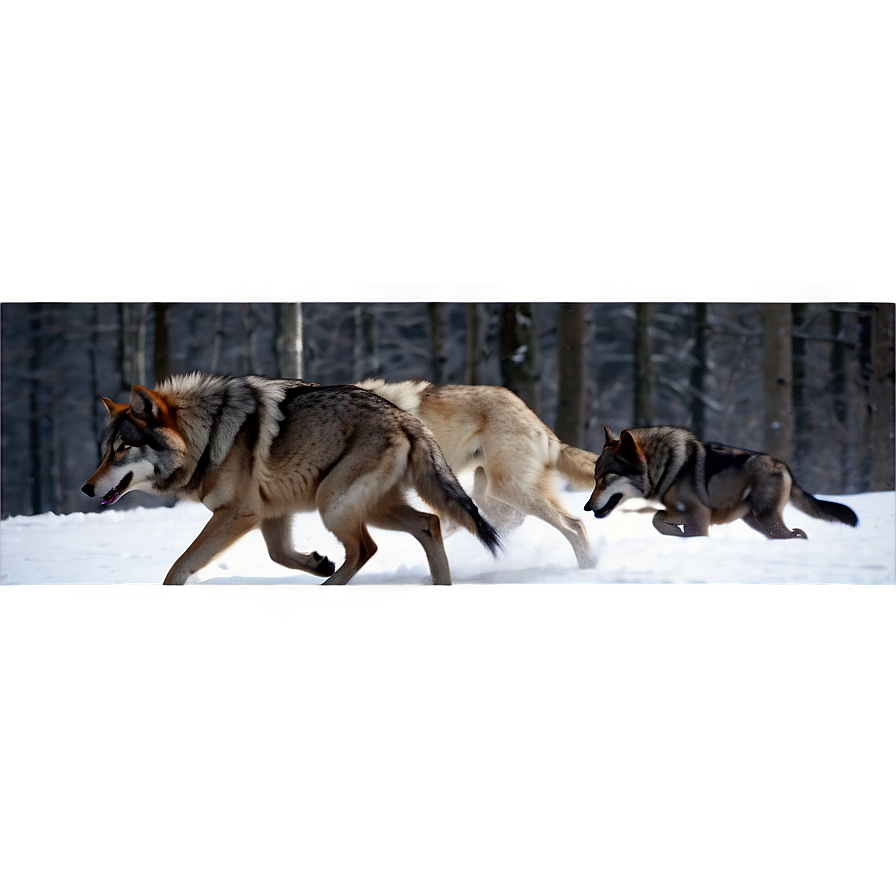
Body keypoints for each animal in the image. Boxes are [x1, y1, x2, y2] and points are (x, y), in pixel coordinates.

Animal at [82, 372, 504, 588]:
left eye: (123, 448)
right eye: (104, 451)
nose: (86, 488)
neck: (208, 435)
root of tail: (406, 419)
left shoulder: (239, 514)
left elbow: (178, 567)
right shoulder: (270, 515)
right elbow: (279, 555)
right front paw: (318, 562)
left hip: (333, 504)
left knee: (366, 548)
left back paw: (328, 592)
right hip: (370, 509)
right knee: (429, 524)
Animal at [584, 428, 856, 540]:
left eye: (604, 478)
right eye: (594, 478)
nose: (586, 507)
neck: (664, 467)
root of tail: (784, 466)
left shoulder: (699, 515)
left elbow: (661, 520)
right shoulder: (682, 512)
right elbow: (656, 518)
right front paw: (676, 534)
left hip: (765, 518)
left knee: (796, 535)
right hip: (756, 522)